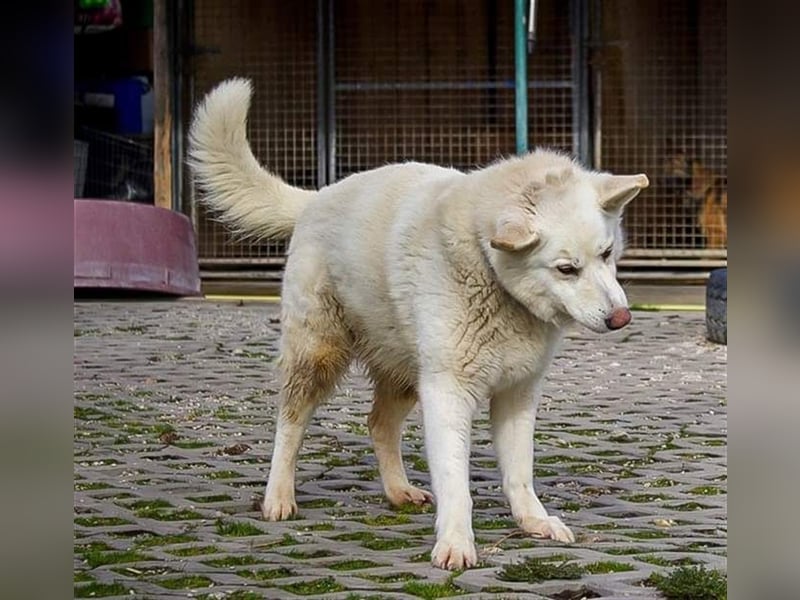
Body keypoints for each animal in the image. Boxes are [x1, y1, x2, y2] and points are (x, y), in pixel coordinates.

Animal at [189, 79, 648, 572]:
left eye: (606, 253)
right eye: (566, 269)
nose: (621, 318)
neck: (490, 272)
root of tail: (320, 195)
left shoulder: (517, 393)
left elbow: (519, 474)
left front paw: (534, 522)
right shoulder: (447, 394)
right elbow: (456, 483)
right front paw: (456, 543)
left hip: (405, 371)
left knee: (378, 424)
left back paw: (397, 492)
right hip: (318, 354)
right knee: (289, 423)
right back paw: (278, 496)